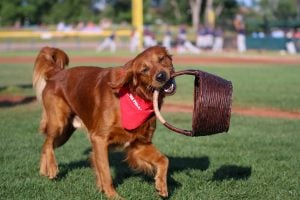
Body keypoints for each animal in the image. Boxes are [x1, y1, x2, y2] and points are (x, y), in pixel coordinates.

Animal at [33, 45, 176, 198]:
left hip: (65, 133)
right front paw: (113, 195)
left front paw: (161, 185)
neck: (134, 94)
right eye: (144, 70)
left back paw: (44, 171)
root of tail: (57, 74)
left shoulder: (139, 143)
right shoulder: (99, 139)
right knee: (48, 143)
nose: (161, 76)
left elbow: (164, 159)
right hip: (59, 124)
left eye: (161, 59)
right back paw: (52, 168)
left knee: (45, 145)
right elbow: (106, 172)